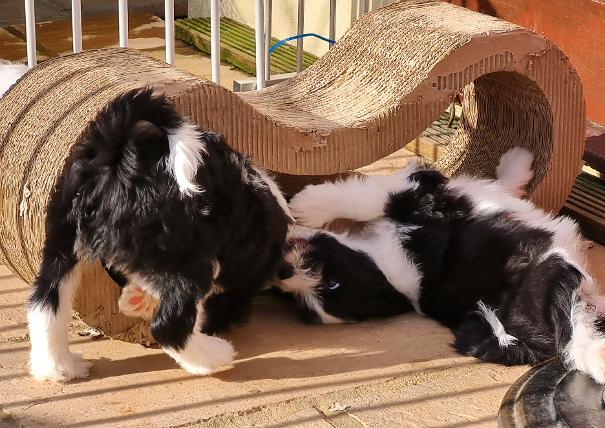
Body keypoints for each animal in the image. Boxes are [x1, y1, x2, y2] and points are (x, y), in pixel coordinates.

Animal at [27, 88, 292, 382]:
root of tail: (116, 159)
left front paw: (135, 300)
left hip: (61, 239)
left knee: (45, 304)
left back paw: (59, 368)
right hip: (184, 256)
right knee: (170, 326)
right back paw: (214, 356)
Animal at [276, 149, 604, 382]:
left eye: (332, 283)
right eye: (299, 301)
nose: (282, 274)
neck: (384, 261)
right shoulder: (420, 198)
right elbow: (370, 200)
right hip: (555, 285)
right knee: (577, 335)